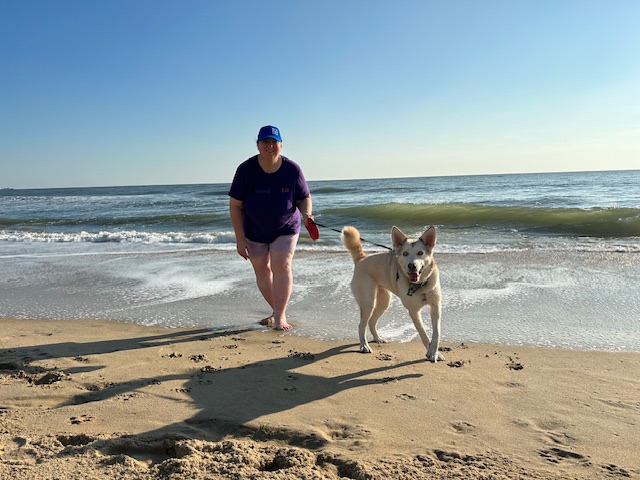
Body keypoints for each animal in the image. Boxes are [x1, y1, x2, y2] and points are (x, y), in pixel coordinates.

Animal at [340, 227, 444, 362]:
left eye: (420, 253)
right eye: (405, 253)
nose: (412, 266)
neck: (420, 285)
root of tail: (361, 258)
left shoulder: (436, 307)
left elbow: (436, 333)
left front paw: (434, 352)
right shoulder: (414, 311)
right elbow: (423, 333)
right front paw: (430, 352)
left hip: (384, 302)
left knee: (371, 321)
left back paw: (378, 338)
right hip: (368, 303)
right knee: (361, 325)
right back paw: (364, 345)